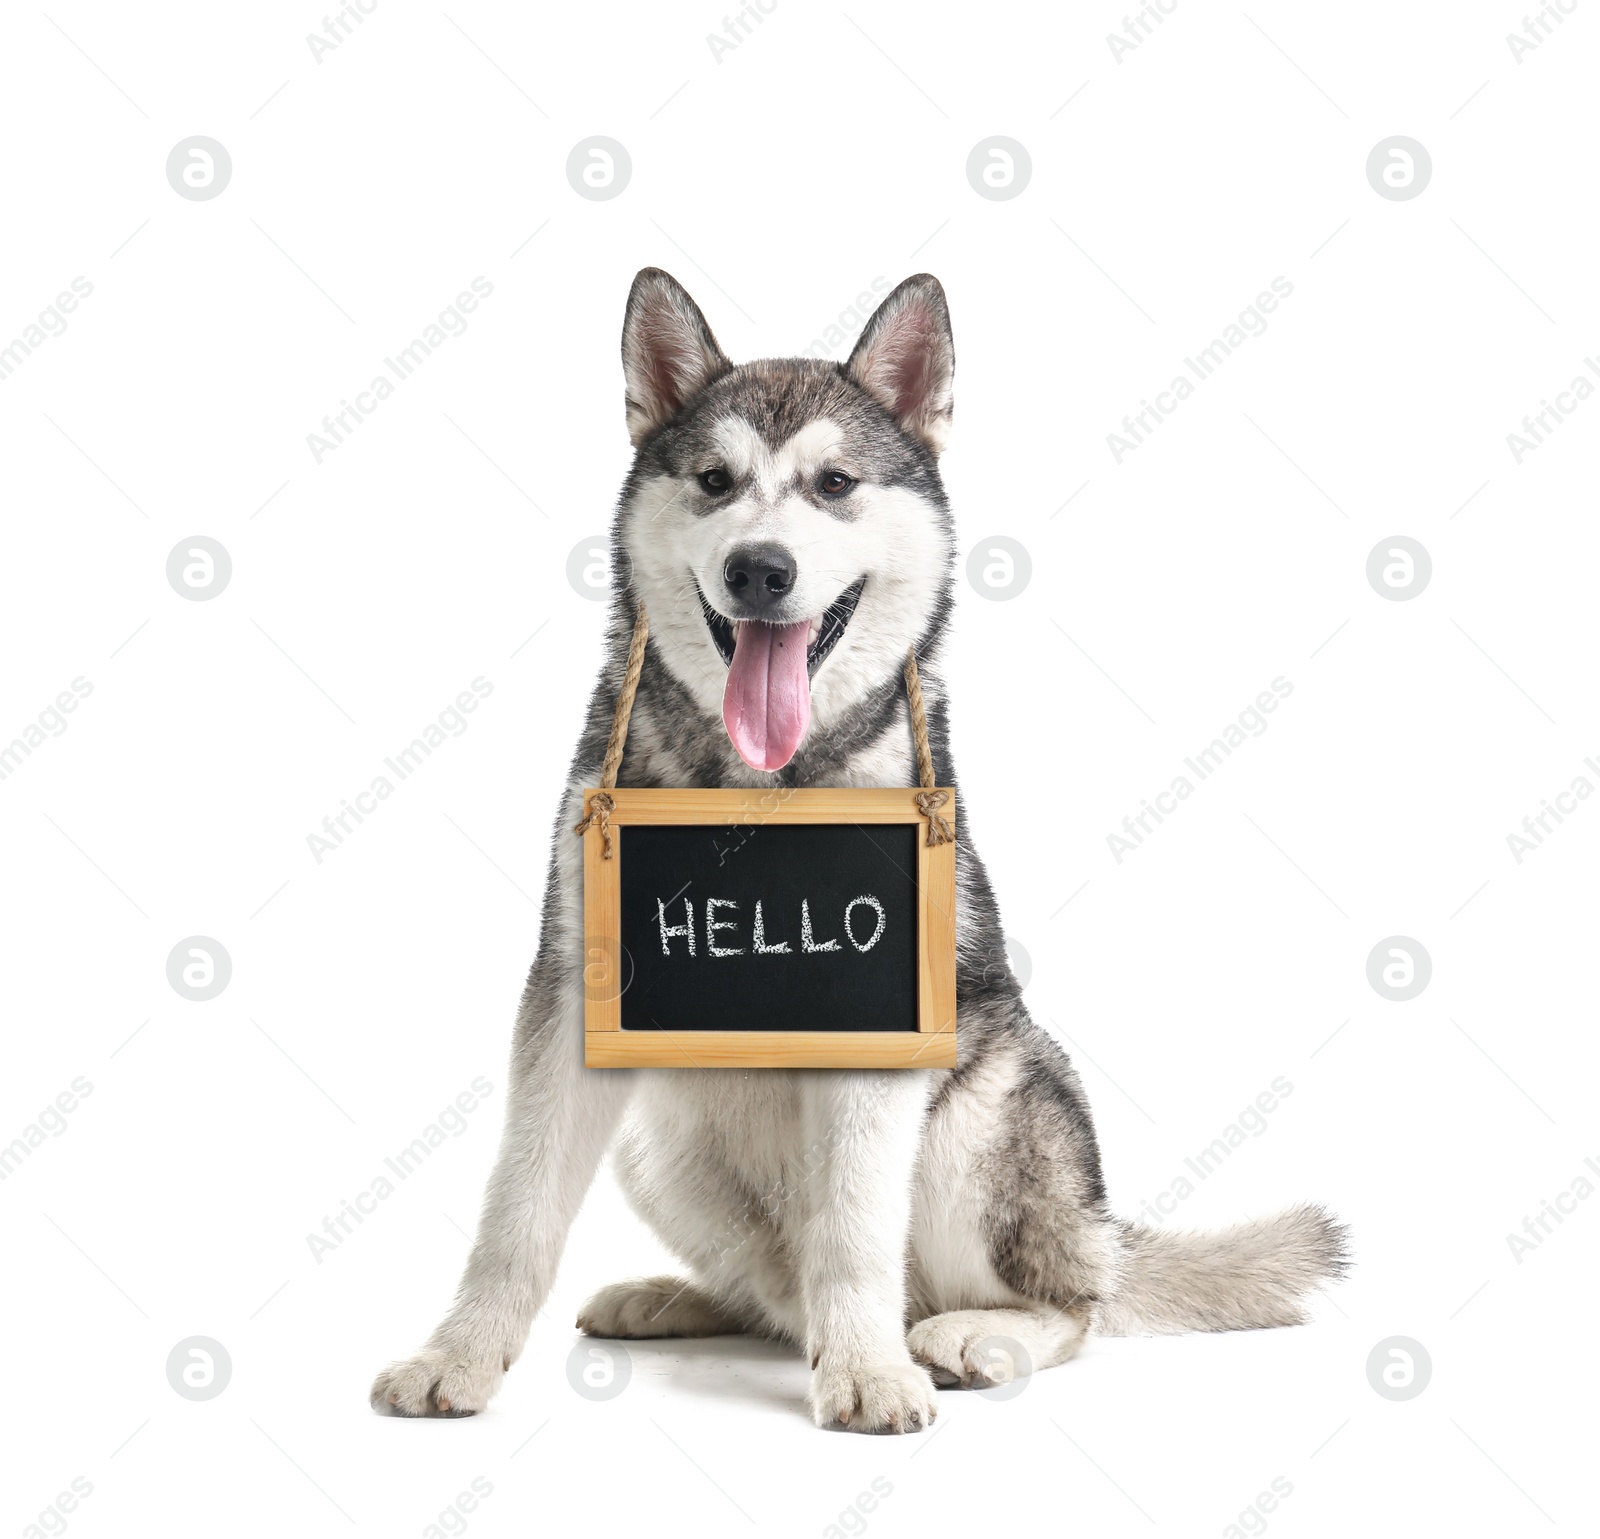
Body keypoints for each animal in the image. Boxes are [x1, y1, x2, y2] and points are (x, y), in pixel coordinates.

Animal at [368, 267, 1344, 1427]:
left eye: (834, 483)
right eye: (714, 481)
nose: (759, 569)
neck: (762, 785)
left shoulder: (881, 1022)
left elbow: (852, 1228)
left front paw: (871, 1372)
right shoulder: (575, 995)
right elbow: (515, 1211)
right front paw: (460, 1352)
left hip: (983, 1120)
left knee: (1070, 1304)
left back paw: (969, 1333)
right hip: (661, 1143)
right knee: (775, 1292)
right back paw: (684, 1299)